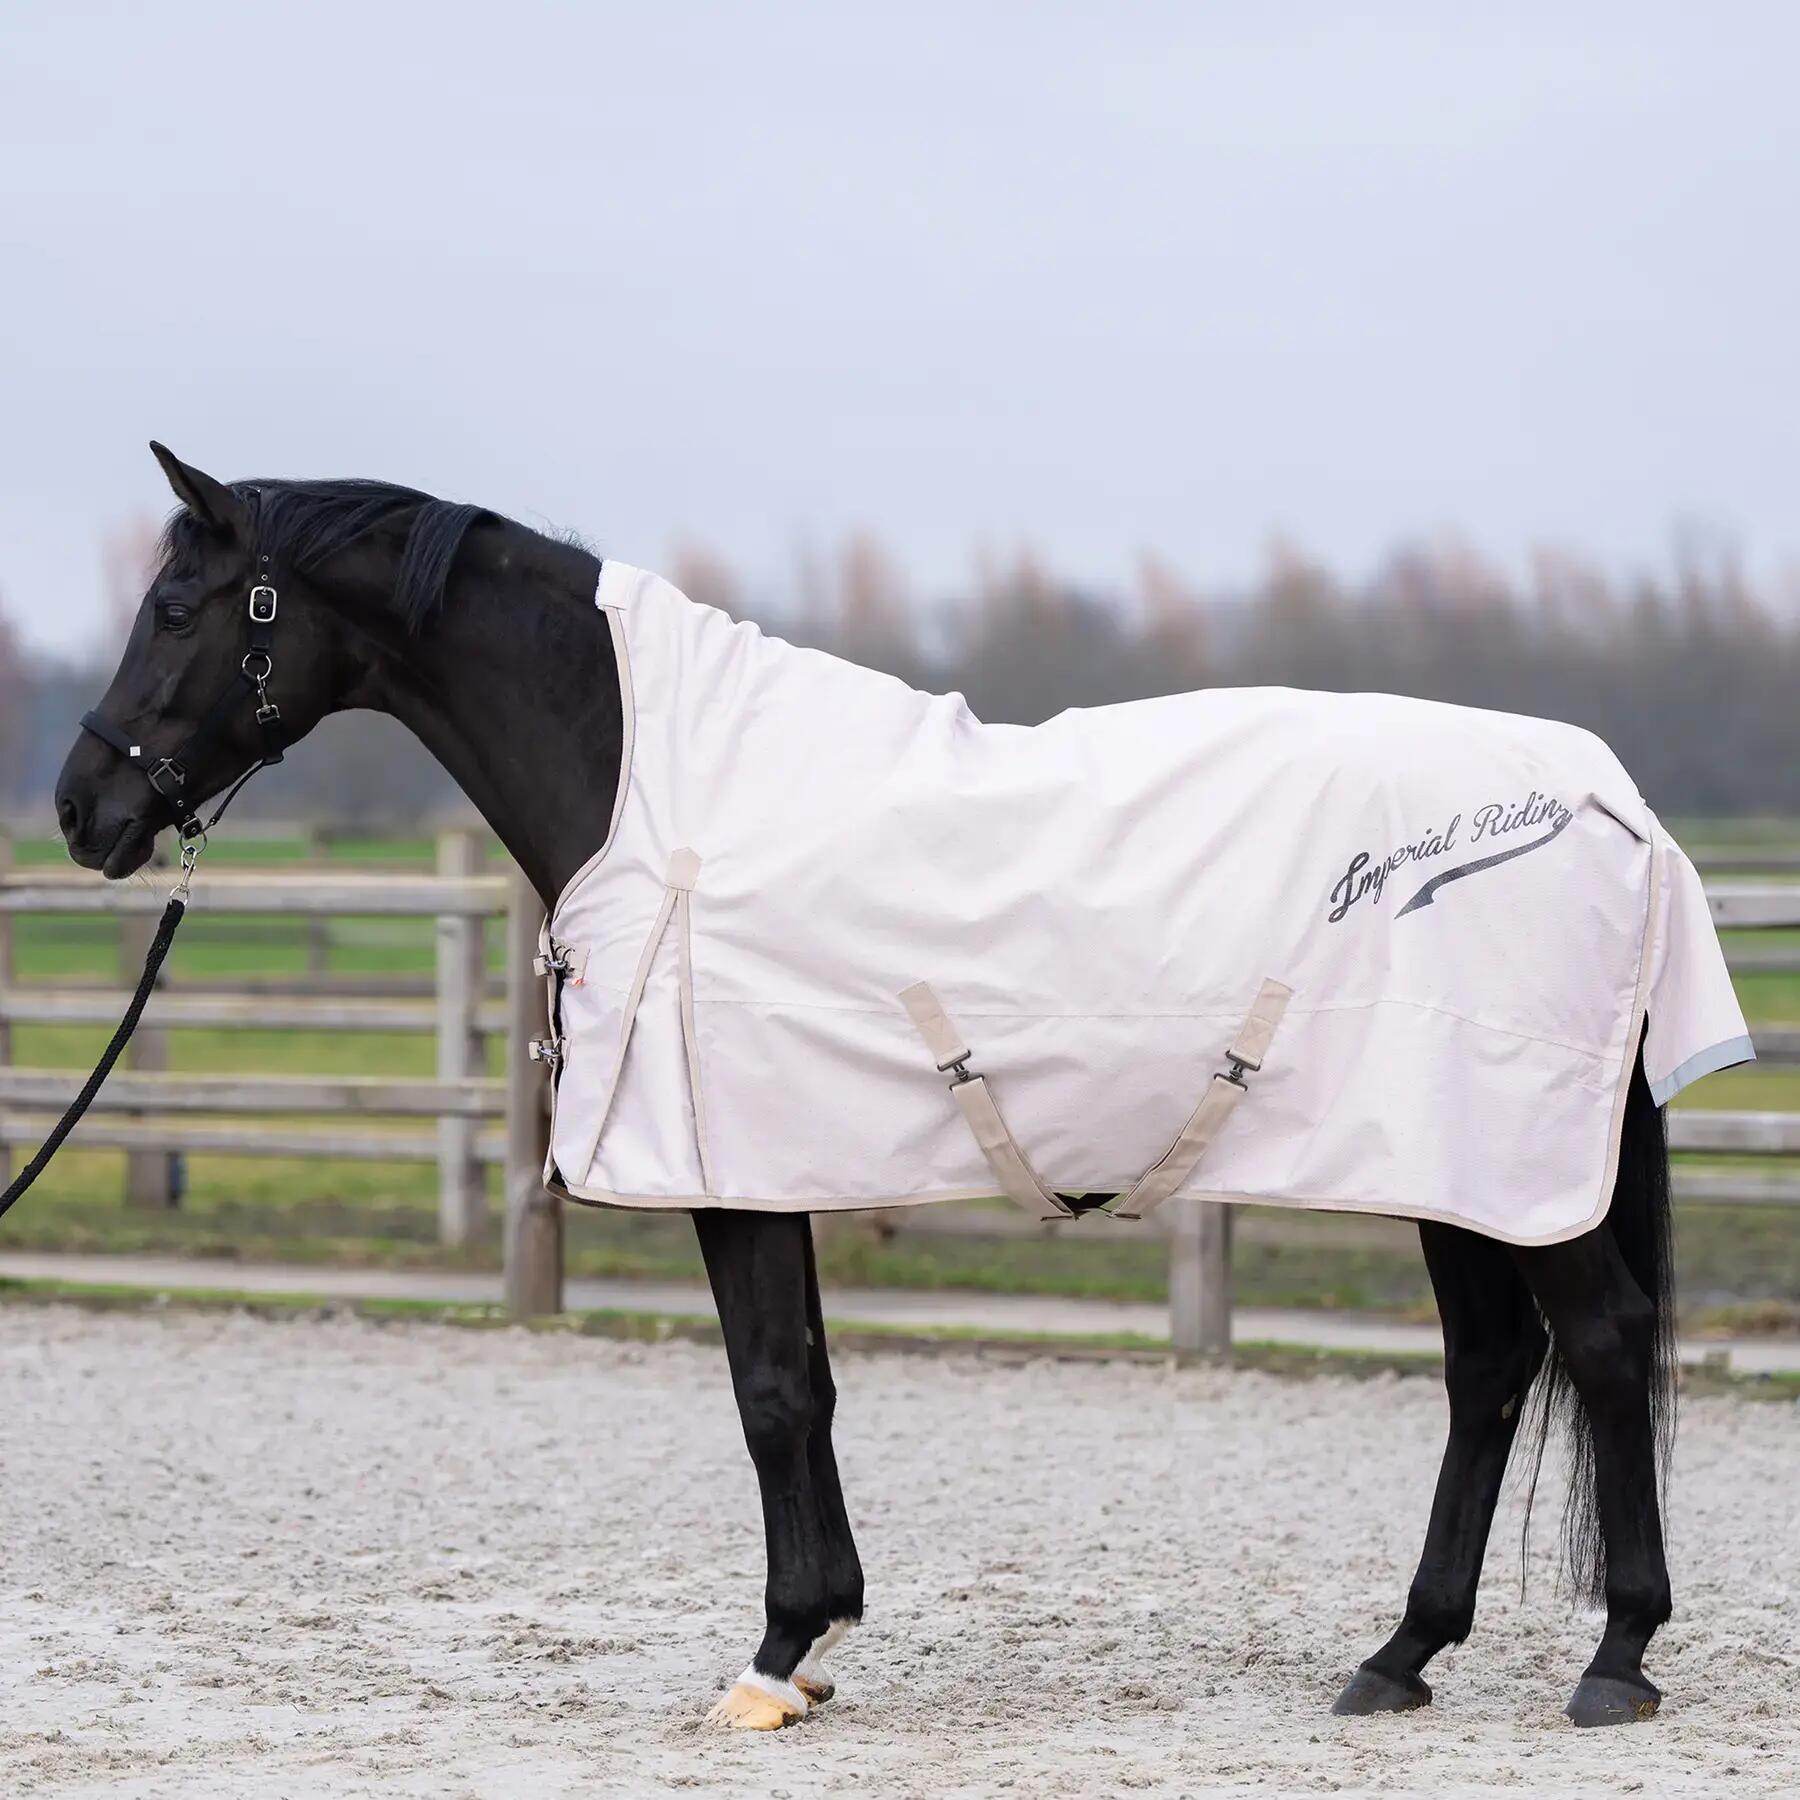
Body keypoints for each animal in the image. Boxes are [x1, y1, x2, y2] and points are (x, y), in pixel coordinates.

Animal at [53, 443, 1694, 1731]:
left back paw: (1616, 1657)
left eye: (178, 607)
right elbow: (812, 1387)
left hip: (1513, 1167)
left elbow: (769, 1393)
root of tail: (1611, 803)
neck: (656, 789)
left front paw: (773, 1653)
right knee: (1492, 1371)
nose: (81, 807)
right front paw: (820, 1631)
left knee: (1602, 1344)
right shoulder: (775, 1166)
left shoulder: (728, 1175)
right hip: (1455, 1170)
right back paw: (1401, 1655)